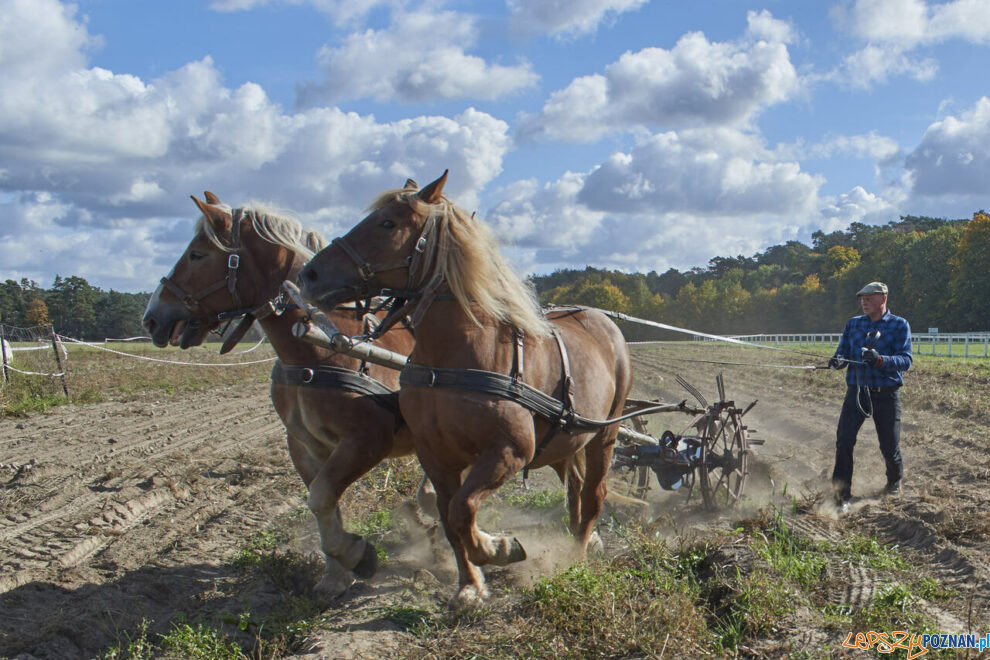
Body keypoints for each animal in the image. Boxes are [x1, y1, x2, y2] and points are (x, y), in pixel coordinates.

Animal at [144, 191, 426, 600]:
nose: (152, 317)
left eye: (197, 253)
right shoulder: (304, 445)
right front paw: (335, 575)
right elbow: (324, 505)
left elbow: (321, 497)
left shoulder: (368, 440)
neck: (317, 350)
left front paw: (357, 555)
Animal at [298, 171, 632, 608]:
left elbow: (462, 511)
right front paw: (470, 584)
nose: (309, 275)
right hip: (568, 441)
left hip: (606, 434)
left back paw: (575, 557)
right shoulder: (436, 456)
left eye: (388, 223)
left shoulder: (509, 451)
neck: (457, 356)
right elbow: (449, 517)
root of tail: (603, 321)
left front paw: (499, 548)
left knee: (593, 495)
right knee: (575, 490)